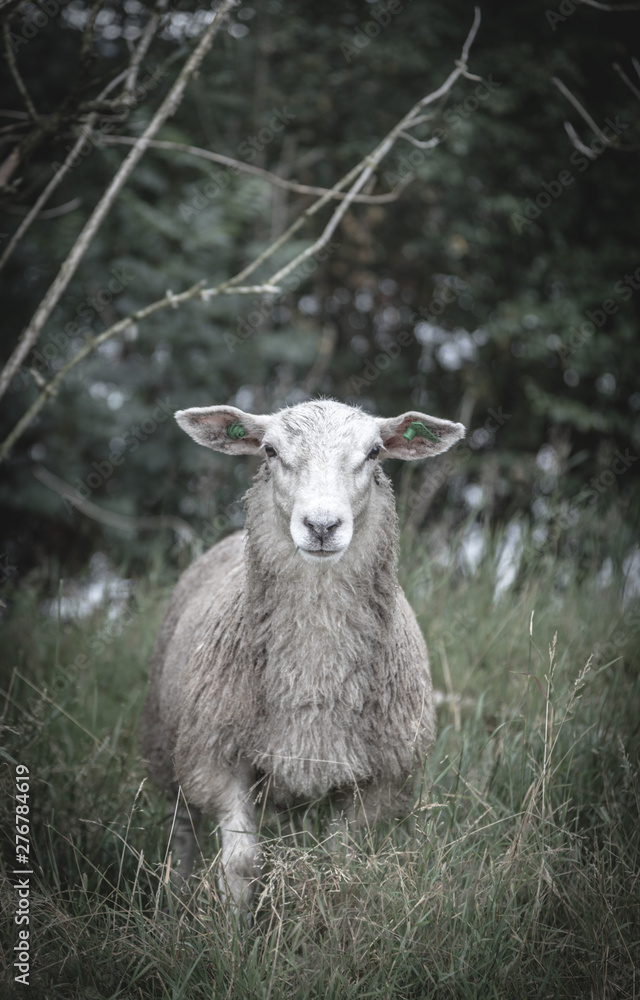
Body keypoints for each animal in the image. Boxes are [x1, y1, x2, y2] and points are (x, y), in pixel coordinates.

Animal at [140, 399, 465, 908]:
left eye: (374, 452)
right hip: (172, 746)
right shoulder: (216, 760)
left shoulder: (378, 783)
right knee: (184, 830)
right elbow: (242, 863)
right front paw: (234, 930)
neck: (314, 673)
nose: (322, 526)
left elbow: (340, 864)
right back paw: (173, 897)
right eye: (270, 451)